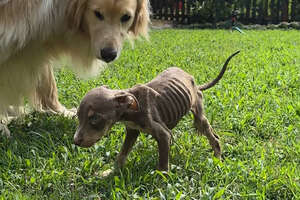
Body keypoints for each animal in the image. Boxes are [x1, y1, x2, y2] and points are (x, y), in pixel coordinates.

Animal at [74, 51, 239, 170]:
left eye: (95, 118)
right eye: (78, 117)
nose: (75, 141)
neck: (131, 109)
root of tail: (194, 82)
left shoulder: (163, 134)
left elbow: (163, 165)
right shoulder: (132, 131)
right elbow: (122, 154)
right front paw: (111, 172)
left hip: (198, 114)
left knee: (214, 137)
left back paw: (218, 159)